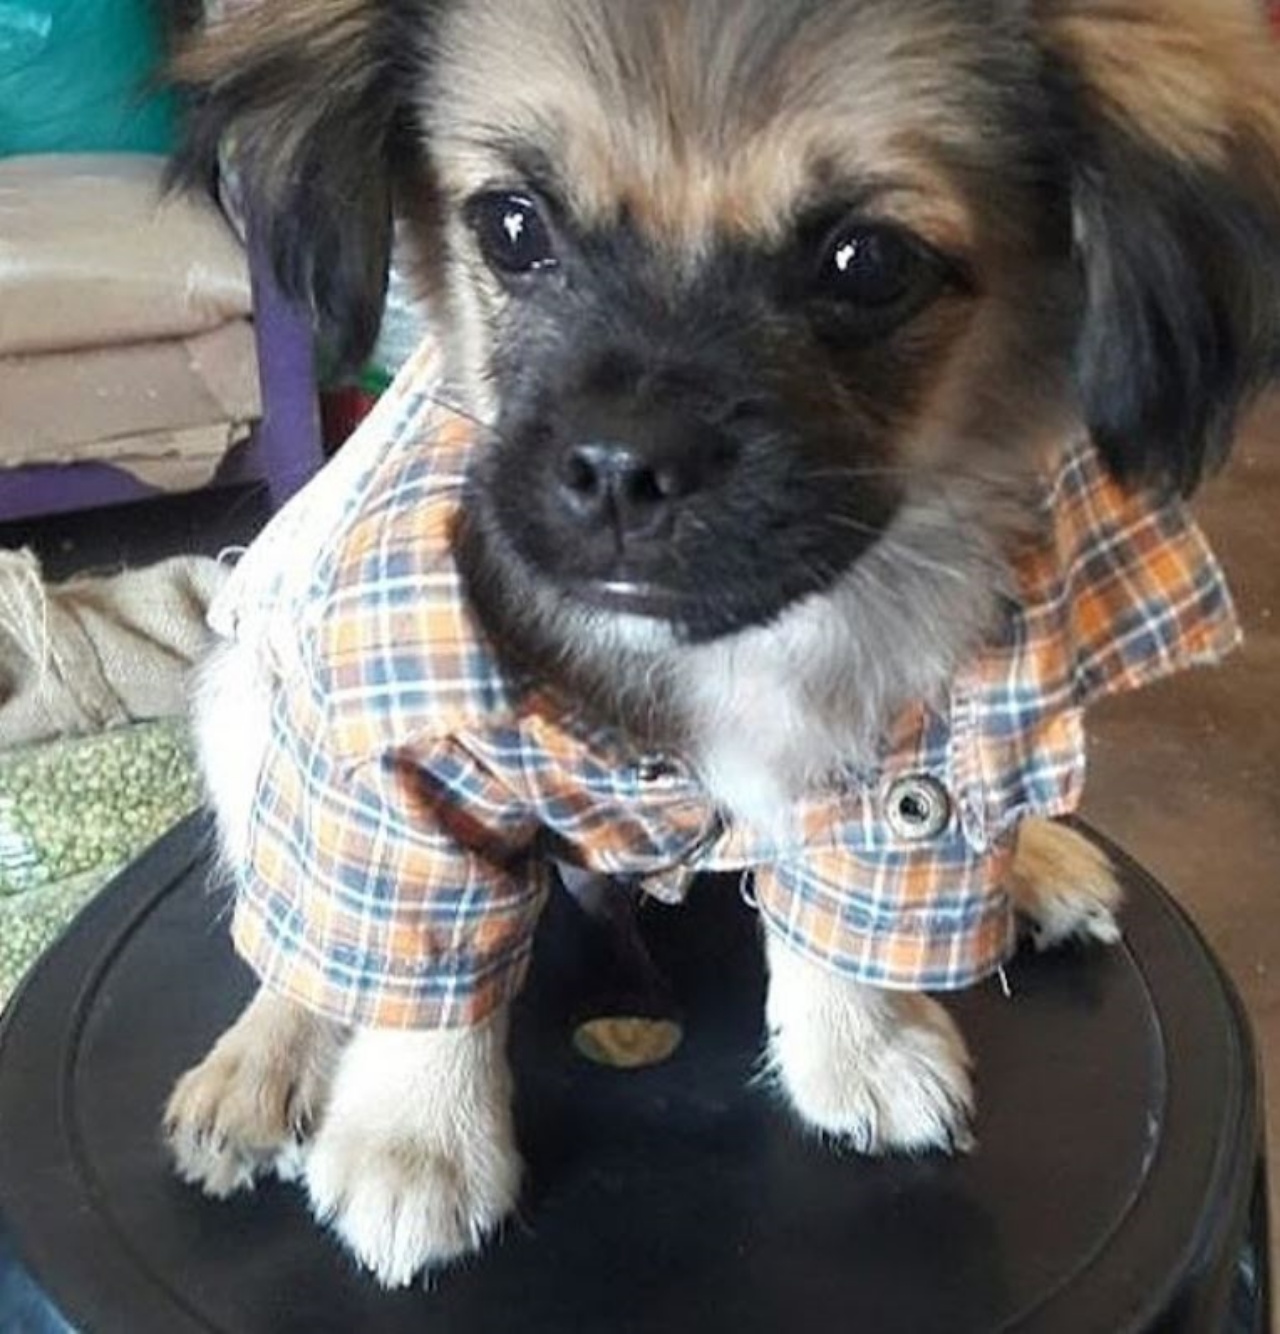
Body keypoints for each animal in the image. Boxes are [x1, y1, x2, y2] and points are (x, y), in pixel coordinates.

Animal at [162, 0, 1280, 1291]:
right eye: (511, 226)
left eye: (865, 262)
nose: (618, 468)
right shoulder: (388, 732)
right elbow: (408, 959)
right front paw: (413, 1140)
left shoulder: (906, 731)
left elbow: (860, 901)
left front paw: (858, 1047)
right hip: (245, 692)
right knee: (291, 920)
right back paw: (264, 1063)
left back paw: (1034, 859)